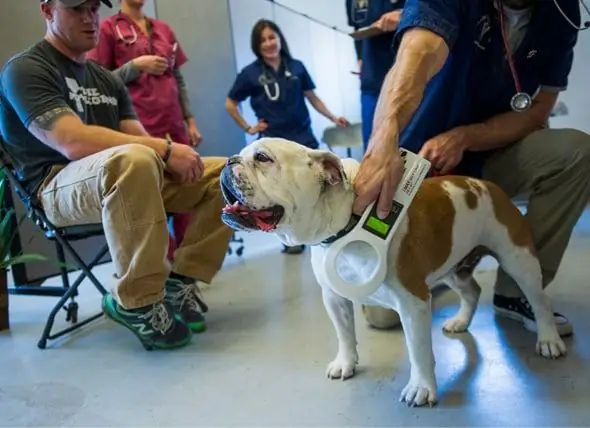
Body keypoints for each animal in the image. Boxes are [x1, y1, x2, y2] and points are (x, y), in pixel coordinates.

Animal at [219, 138, 568, 408]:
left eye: (263, 158)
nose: (228, 160)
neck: (345, 224)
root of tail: (485, 185)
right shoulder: (334, 297)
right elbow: (344, 334)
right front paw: (345, 363)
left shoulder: (413, 302)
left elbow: (418, 350)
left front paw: (422, 388)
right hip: (452, 266)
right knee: (472, 291)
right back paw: (460, 321)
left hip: (518, 259)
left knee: (539, 301)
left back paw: (549, 339)